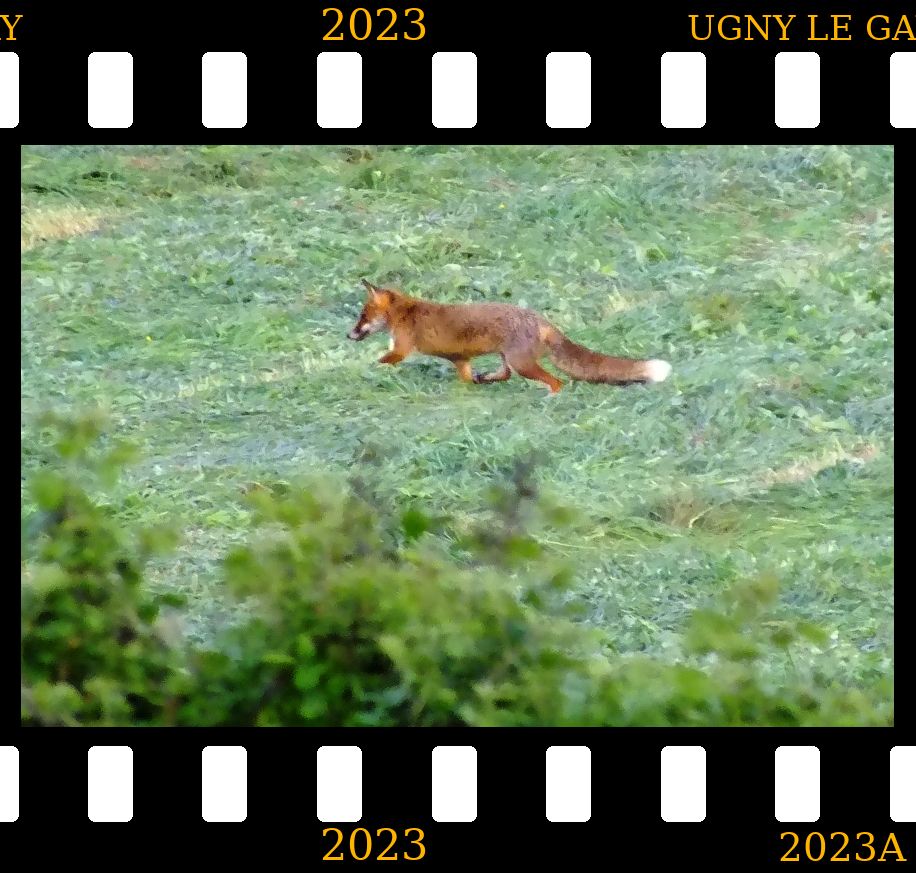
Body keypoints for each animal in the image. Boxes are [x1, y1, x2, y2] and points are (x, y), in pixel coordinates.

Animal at [347, 279, 672, 394]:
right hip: (509, 359)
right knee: (503, 375)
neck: (404, 313)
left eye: (362, 317)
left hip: (522, 363)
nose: (349, 334)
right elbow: (465, 378)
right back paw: (487, 379)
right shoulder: (461, 360)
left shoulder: (401, 348)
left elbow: (380, 362)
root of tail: (542, 320)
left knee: (557, 381)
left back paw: (550, 397)